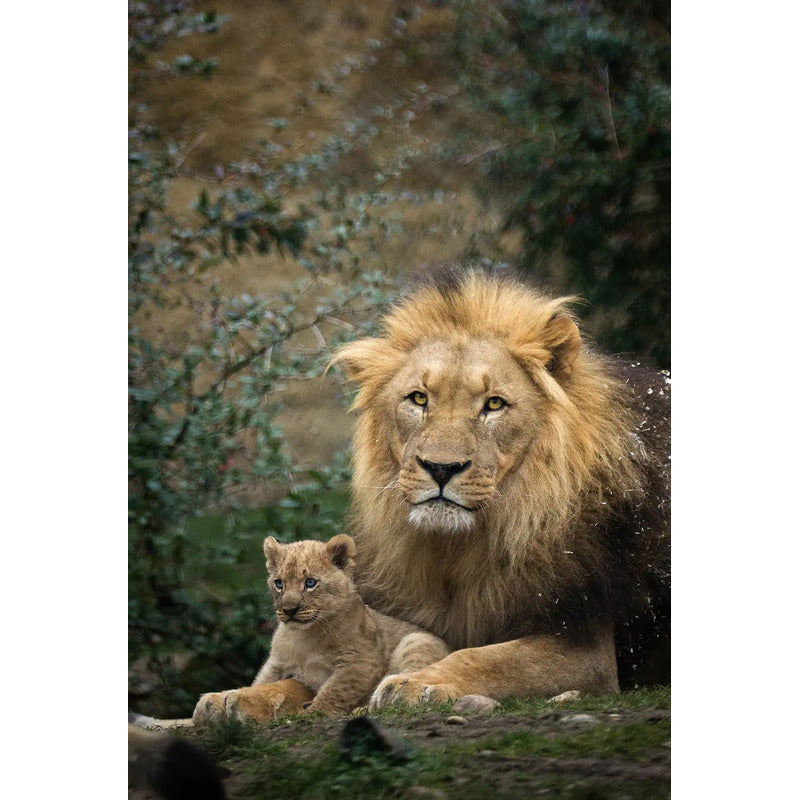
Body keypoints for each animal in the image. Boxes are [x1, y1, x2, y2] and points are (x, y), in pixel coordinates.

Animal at [193, 535, 449, 721]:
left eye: (310, 583)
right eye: (279, 583)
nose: (289, 610)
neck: (304, 637)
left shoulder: (362, 662)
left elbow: (335, 690)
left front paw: (314, 712)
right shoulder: (276, 663)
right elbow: (259, 683)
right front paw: (223, 699)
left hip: (415, 641)